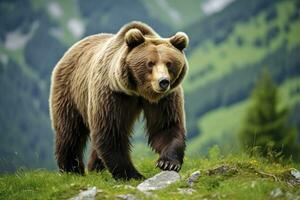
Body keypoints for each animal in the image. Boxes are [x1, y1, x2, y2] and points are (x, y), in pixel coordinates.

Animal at [50, 20, 189, 180]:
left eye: (169, 63)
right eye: (150, 63)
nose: (163, 82)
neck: (138, 90)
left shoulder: (165, 98)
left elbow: (166, 126)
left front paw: (168, 163)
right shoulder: (112, 95)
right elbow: (111, 132)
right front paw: (132, 174)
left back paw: (96, 168)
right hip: (69, 90)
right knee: (70, 131)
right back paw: (71, 170)